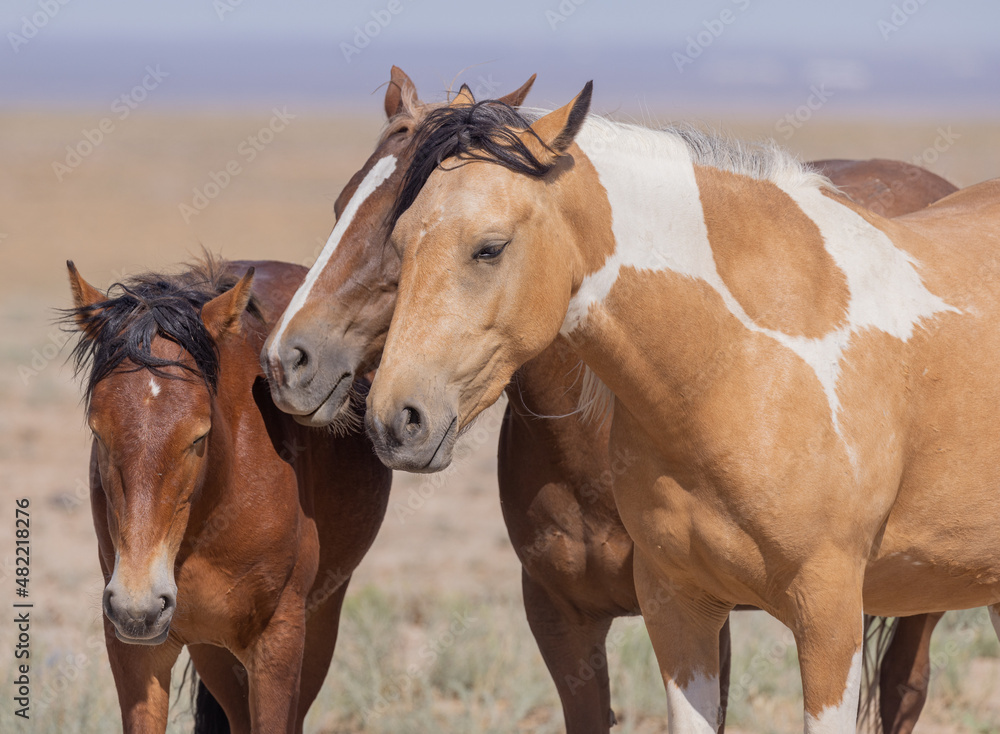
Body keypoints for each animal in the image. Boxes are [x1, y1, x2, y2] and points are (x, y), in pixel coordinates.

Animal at [65, 258, 390, 733]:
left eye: (199, 436)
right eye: (98, 431)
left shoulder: (279, 640)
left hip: (318, 620)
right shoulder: (135, 650)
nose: (138, 606)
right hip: (214, 652)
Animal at [261, 68, 959, 733]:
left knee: (902, 690)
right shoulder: (563, 617)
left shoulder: (704, 611)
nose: (288, 360)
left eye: (394, 222)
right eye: (341, 203)